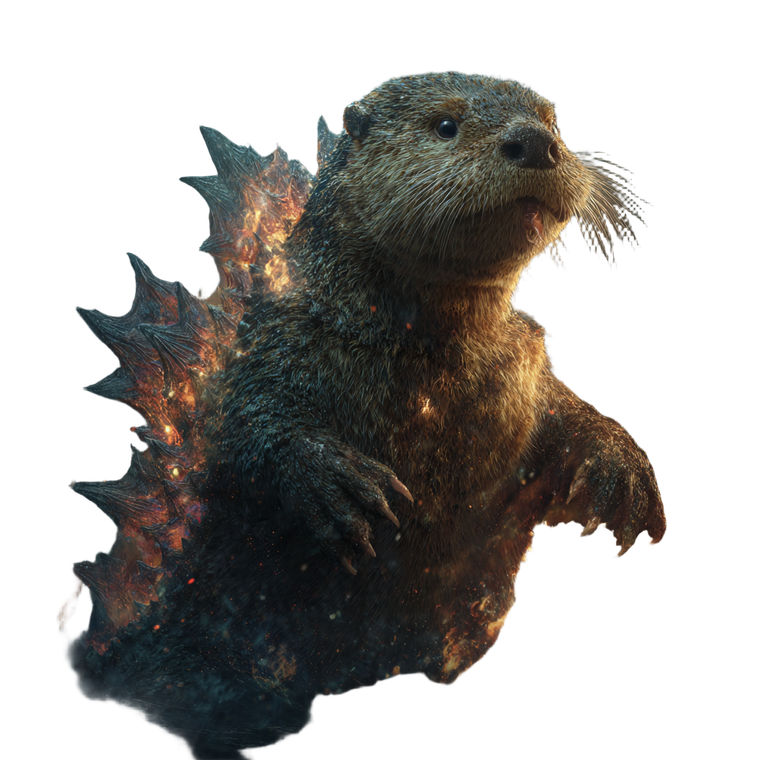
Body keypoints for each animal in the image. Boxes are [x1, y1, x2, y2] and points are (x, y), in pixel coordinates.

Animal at [62, 71, 667, 758]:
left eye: (552, 122)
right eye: (446, 125)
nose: (535, 143)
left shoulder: (528, 372)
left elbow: (570, 421)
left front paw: (623, 470)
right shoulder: (279, 348)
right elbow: (246, 430)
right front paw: (336, 485)